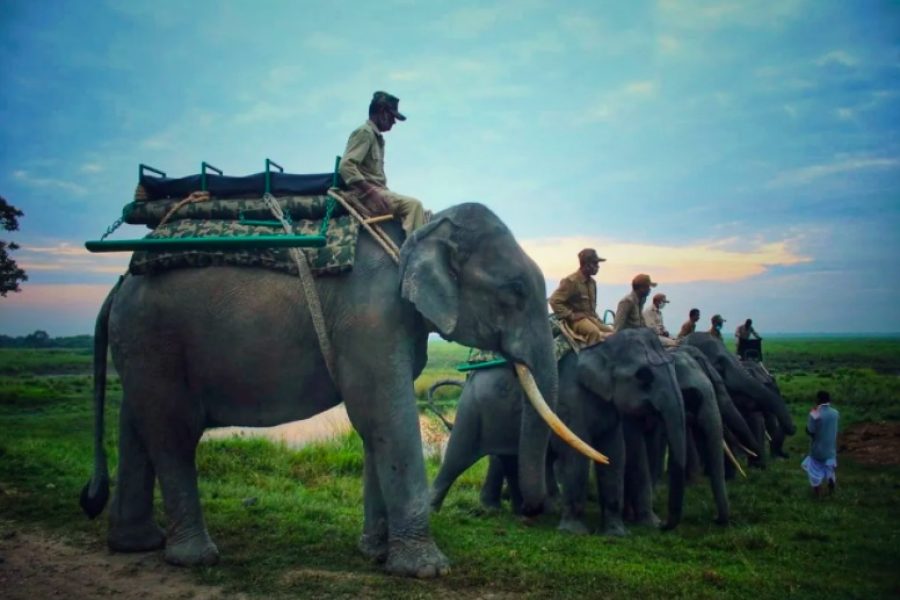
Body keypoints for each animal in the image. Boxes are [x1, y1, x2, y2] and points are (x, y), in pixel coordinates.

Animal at [79, 202, 604, 578]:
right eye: (515, 291)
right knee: (172, 432)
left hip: (142, 345)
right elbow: (386, 414)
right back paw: (195, 557)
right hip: (155, 339)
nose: (534, 511)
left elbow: (376, 424)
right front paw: (427, 570)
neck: (419, 230)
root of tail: (117, 284)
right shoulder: (370, 318)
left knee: (137, 423)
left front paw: (375, 555)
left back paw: (137, 543)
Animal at [430, 328, 686, 536]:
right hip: (472, 410)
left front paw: (616, 534)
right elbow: (576, 457)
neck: (602, 344)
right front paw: (575, 533)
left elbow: (615, 454)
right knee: (457, 457)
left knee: (511, 460)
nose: (663, 526)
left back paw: (524, 513)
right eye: (644, 376)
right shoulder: (568, 401)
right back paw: (433, 512)